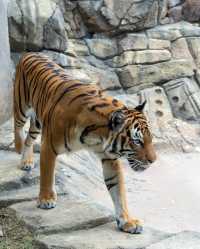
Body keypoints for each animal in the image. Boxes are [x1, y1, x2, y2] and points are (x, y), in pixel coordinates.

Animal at [14, 52, 157, 233]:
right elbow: (47, 175)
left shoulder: (109, 158)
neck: (97, 136)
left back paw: (26, 161)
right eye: (137, 141)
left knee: (29, 137)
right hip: (21, 106)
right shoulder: (49, 146)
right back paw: (18, 148)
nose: (153, 160)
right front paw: (46, 199)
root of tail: (30, 53)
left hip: (38, 122)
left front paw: (127, 221)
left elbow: (118, 190)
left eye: (150, 138)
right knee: (18, 128)